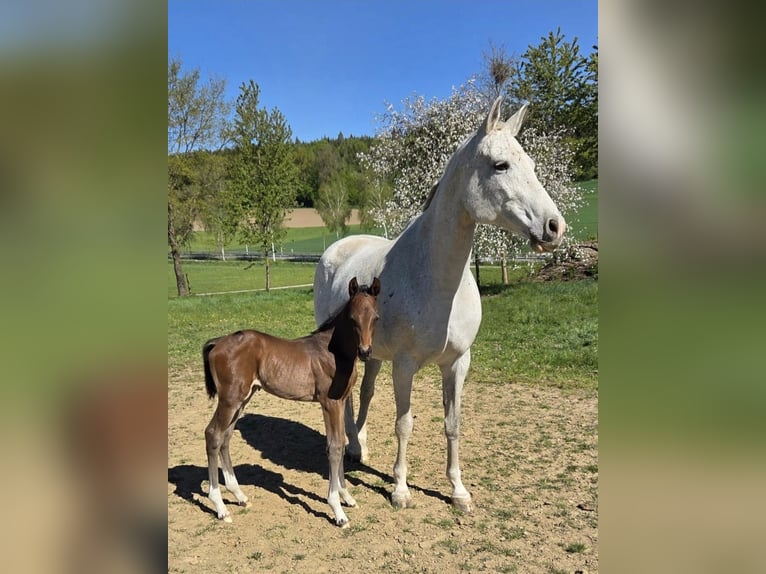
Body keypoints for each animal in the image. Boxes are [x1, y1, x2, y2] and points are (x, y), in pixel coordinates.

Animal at [202, 277, 381, 527]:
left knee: (225, 438)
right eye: (352, 318)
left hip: (243, 398)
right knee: (213, 434)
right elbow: (334, 446)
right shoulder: (330, 402)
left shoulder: (341, 401)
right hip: (230, 399)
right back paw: (220, 507)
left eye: (376, 318)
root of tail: (217, 342)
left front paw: (346, 496)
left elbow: (340, 442)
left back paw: (239, 495)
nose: (365, 351)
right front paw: (337, 510)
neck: (332, 352)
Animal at [313, 97, 565, 513]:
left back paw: (357, 446)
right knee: (346, 395)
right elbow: (404, 424)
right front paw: (400, 490)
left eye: (531, 164)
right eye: (500, 165)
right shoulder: (404, 365)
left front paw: (459, 491)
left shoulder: (457, 363)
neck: (434, 276)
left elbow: (453, 424)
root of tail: (337, 247)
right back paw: (350, 445)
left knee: (364, 392)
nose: (554, 227)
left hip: (373, 354)